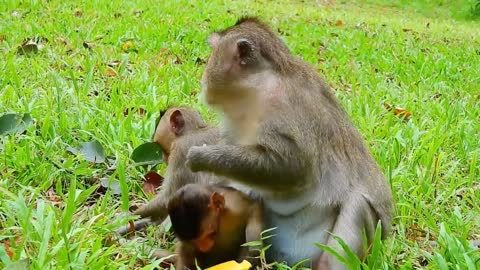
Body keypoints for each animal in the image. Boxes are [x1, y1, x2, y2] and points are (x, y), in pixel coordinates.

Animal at [186, 17, 392, 270]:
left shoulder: (286, 108)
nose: (203, 77)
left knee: (358, 206)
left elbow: (293, 168)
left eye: (214, 51)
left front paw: (201, 157)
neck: (256, 88)